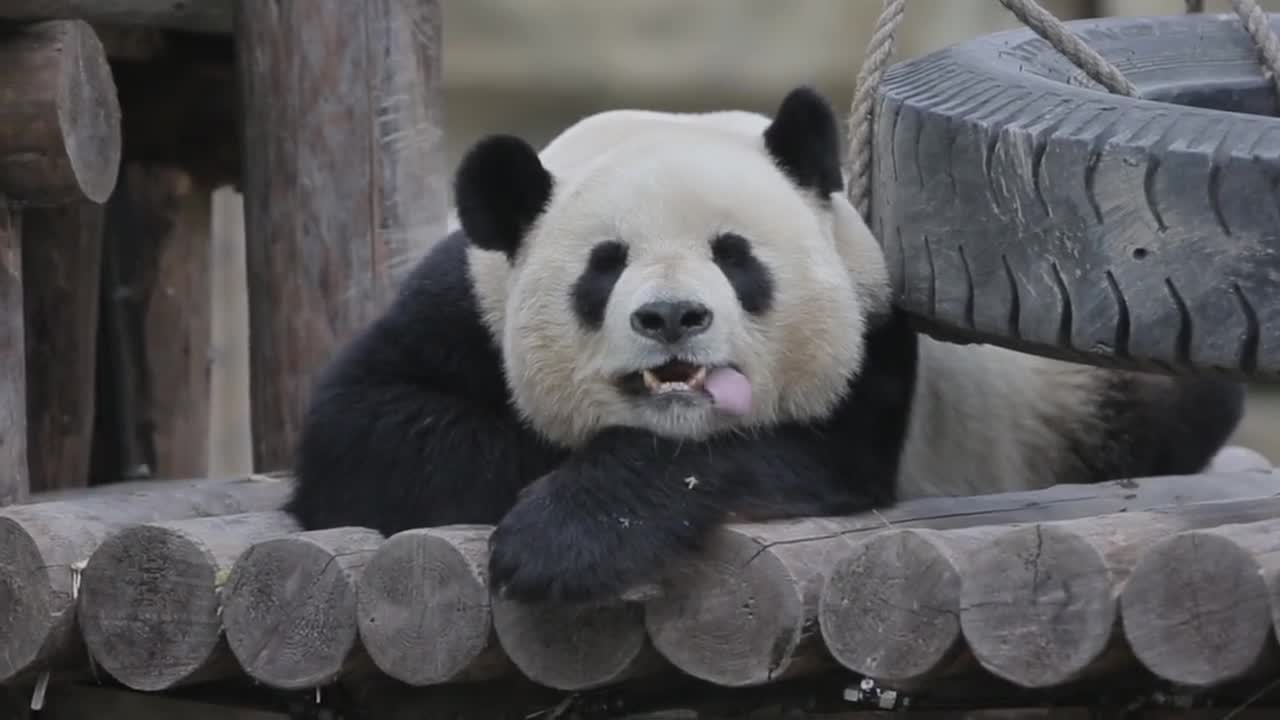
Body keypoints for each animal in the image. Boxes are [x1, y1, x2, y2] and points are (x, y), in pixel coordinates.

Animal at [285, 82, 1244, 599]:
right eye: (604, 265)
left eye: (735, 256)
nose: (672, 318)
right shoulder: (461, 301)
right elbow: (366, 431)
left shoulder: (871, 326)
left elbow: (794, 457)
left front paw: (563, 539)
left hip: (1082, 378)